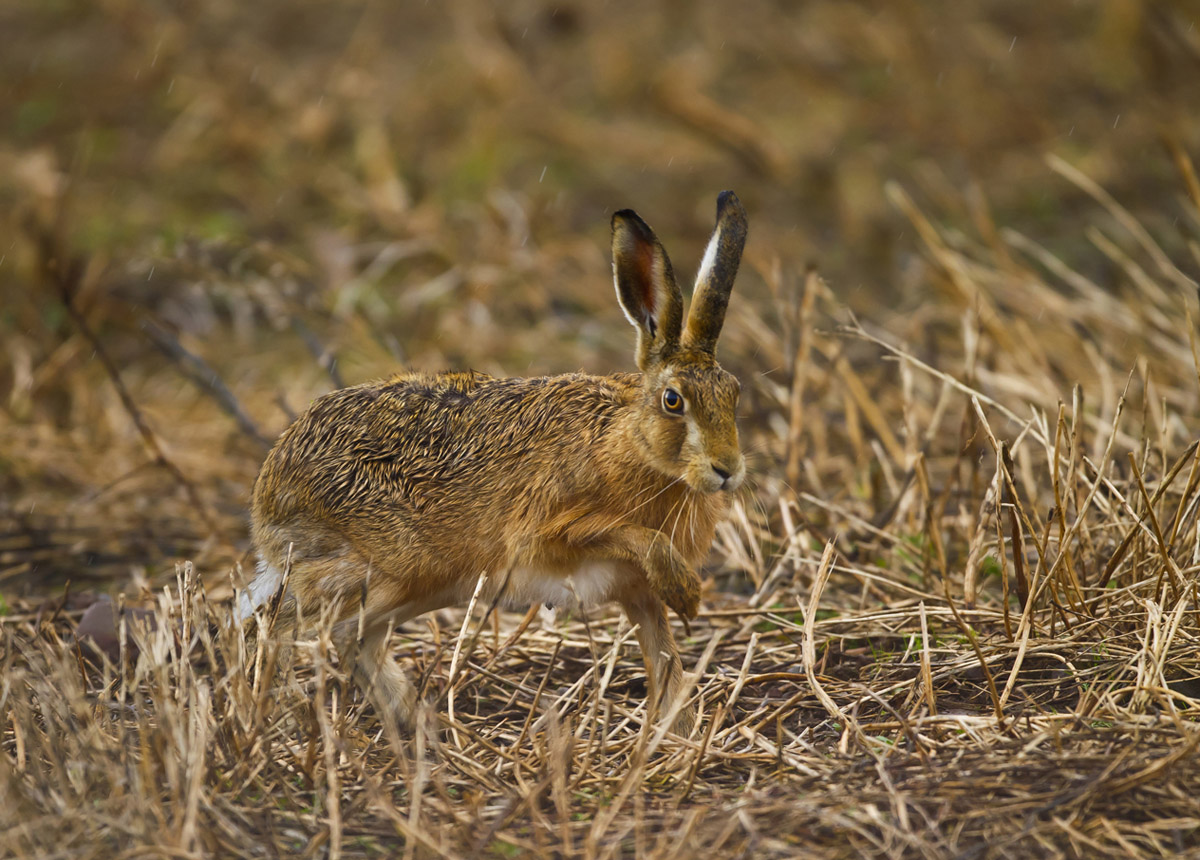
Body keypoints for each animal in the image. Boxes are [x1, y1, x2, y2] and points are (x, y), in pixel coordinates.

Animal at [239, 191, 748, 735]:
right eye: (673, 401)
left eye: (734, 392)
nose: (726, 469)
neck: (631, 441)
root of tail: (268, 489)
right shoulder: (550, 533)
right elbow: (633, 536)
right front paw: (688, 594)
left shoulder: (637, 593)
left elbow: (666, 662)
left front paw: (678, 732)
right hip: (386, 564)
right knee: (278, 622)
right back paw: (285, 717)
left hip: (418, 583)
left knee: (348, 637)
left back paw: (422, 729)